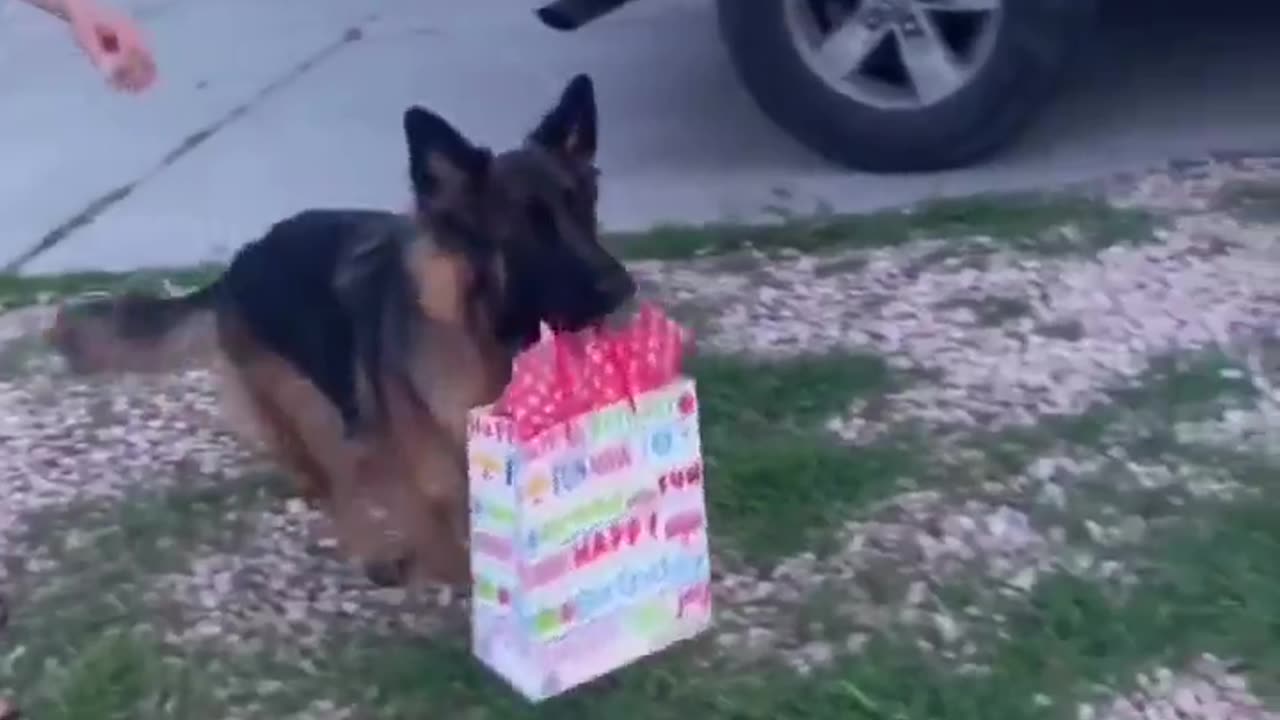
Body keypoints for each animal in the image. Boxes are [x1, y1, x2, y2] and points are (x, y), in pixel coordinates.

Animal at [47, 75, 637, 586]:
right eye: (527, 232)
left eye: (583, 212)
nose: (623, 287)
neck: (491, 344)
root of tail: (235, 267)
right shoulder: (436, 492)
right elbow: (454, 557)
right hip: (309, 416)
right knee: (330, 487)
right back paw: (373, 550)